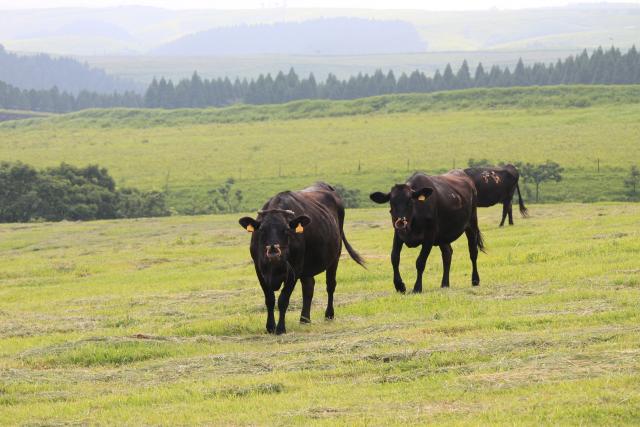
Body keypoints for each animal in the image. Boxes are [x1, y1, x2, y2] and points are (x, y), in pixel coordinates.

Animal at [239, 182, 364, 336]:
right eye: (262, 230)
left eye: (286, 230)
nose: (273, 251)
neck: (275, 266)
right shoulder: (259, 269)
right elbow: (270, 299)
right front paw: (270, 327)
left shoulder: (294, 269)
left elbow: (283, 299)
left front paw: (281, 328)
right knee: (309, 287)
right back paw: (304, 319)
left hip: (335, 255)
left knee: (330, 285)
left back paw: (329, 314)